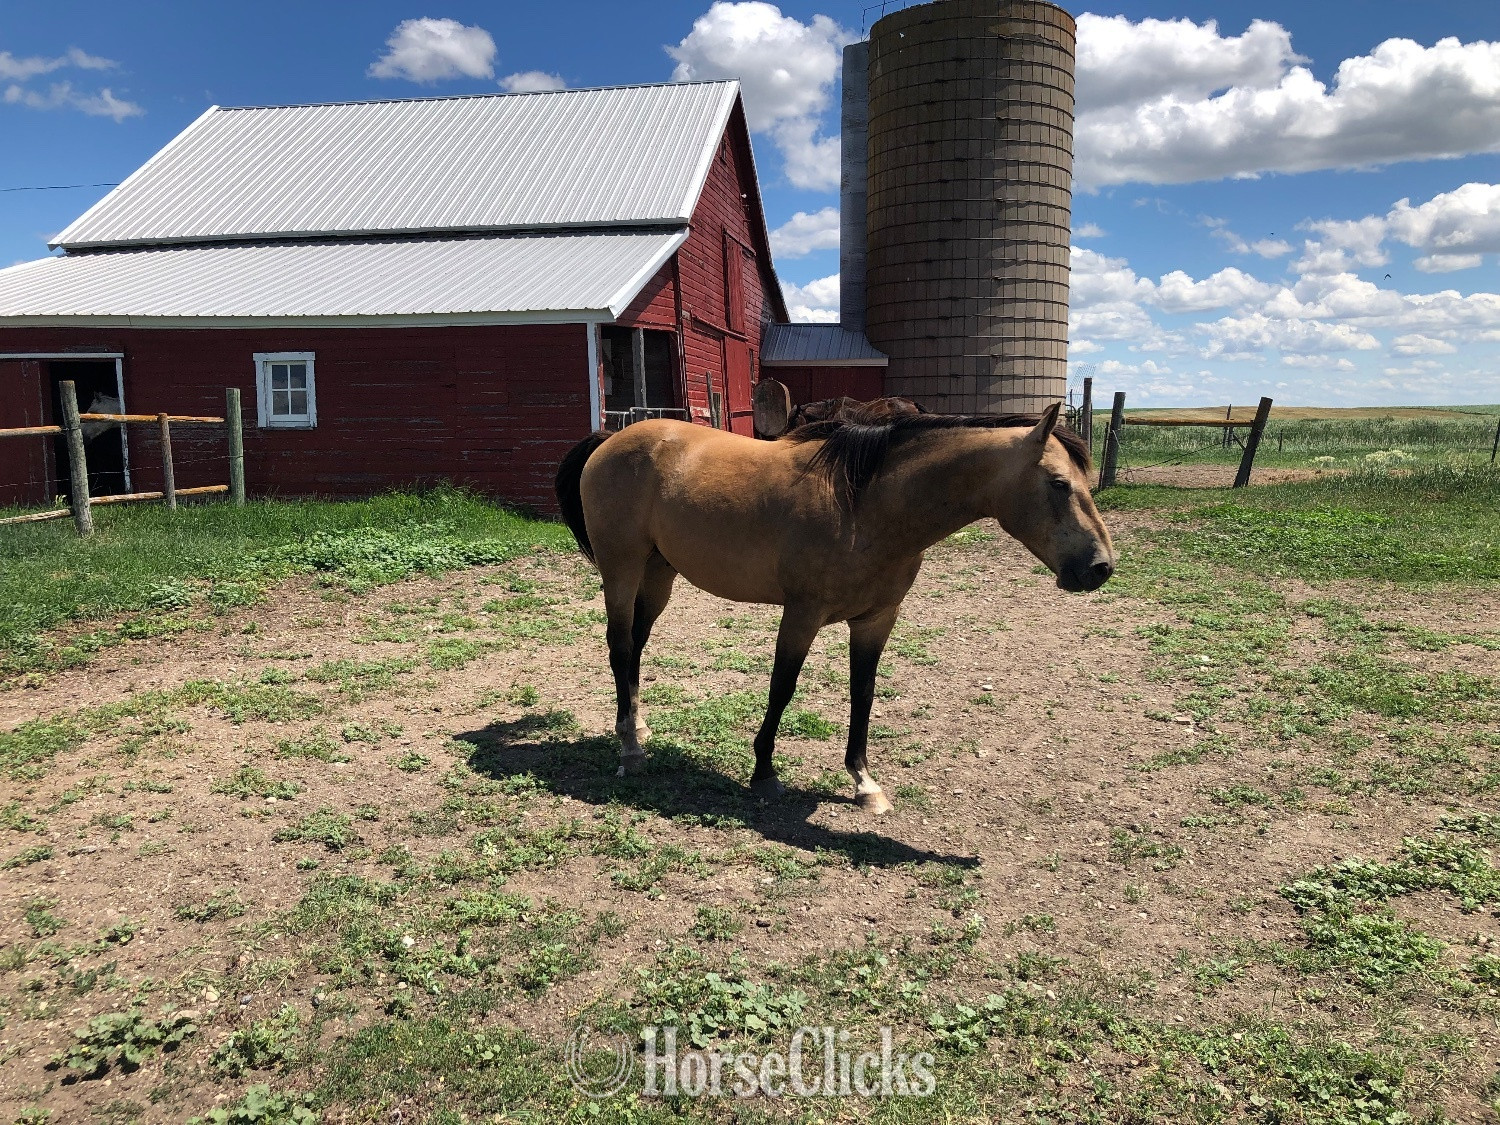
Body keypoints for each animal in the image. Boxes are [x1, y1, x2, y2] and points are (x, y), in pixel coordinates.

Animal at [553, 402, 1114, 815]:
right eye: (1059, 484)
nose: (1100, 568)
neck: (864, 507)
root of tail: (611, 438)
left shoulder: (876, 620)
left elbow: (862, 693)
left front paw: (864, 781)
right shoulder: (802, 614)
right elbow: (782, 688)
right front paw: (764, 773)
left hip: (659, 574)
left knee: (636, 648)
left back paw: (637, 727)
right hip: (622, 570)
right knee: (619, 646)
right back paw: (630, 750)